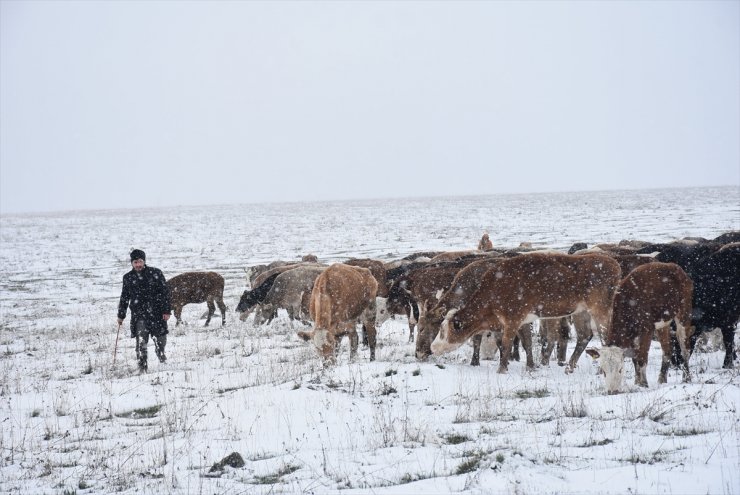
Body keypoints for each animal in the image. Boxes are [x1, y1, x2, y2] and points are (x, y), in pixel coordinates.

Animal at [430, 254, 620, 374]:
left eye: (443, 330)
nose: (433, 347)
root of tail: (613, 263)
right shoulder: (522, 321)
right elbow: (524, 342)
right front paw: (529, 366)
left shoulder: (512, 320)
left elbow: (506, 343)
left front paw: (501, 369)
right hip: (582, 312)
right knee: (584, 336)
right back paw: (569, 367)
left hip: (600, 309)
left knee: (605, 337)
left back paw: (601, 369)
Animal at [584, 264, 692, 396]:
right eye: (603, 371)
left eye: (620, 369)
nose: (612, 391)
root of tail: (675, 267)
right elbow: (635, 358)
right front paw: (637, 382)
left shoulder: (647, 330)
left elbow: (641, 358)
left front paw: (643, 384)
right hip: (663, 323)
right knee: (667, 349)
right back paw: (662, 379)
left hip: (684, 314)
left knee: (685, 348)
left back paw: (686, 378)